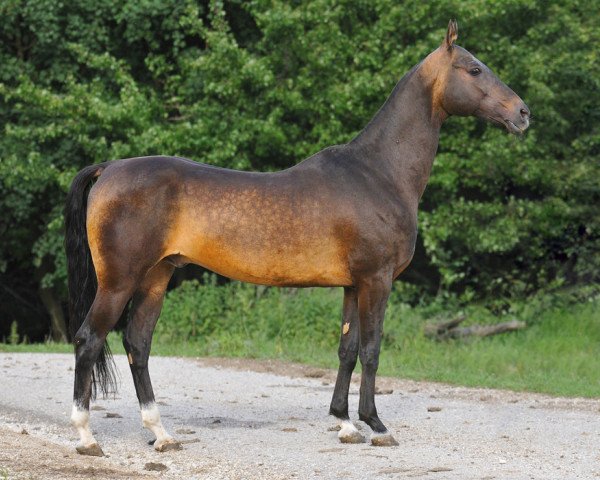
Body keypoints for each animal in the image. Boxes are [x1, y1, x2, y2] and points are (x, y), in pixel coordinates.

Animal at [65, 21, 528, 458]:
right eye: (474, 68)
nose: (523, 113)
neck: (378, 172)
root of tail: (109, 168)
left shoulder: (352, 285)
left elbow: (347, 349)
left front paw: (345, 424)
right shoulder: (376, 281)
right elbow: (372, 350)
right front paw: (376, 426)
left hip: (156, 277)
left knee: (137, 344)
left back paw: (161, 434)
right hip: (119, 281)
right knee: (89, 340)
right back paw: (87, 437)